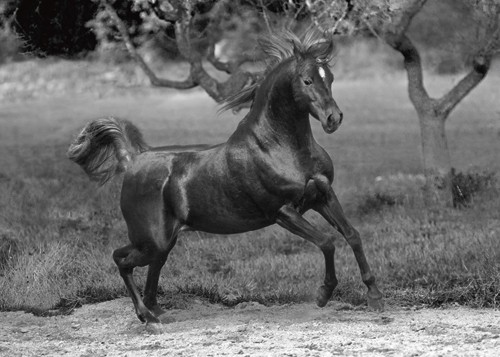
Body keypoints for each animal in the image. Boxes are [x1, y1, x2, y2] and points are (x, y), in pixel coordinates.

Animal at [68, 30, 382, 322]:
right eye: (307, 80)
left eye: (330, 78)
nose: (333, 119)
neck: (281, 148)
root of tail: (132, 160)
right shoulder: (283, 212)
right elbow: (328, 241)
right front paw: (323, 294)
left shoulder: (323, 195)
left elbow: (352, 235)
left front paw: (374, 294)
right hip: (151, 240)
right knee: (121, 259)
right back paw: (146, 317)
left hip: (164, 242)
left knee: (151, 268)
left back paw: (156, 312)